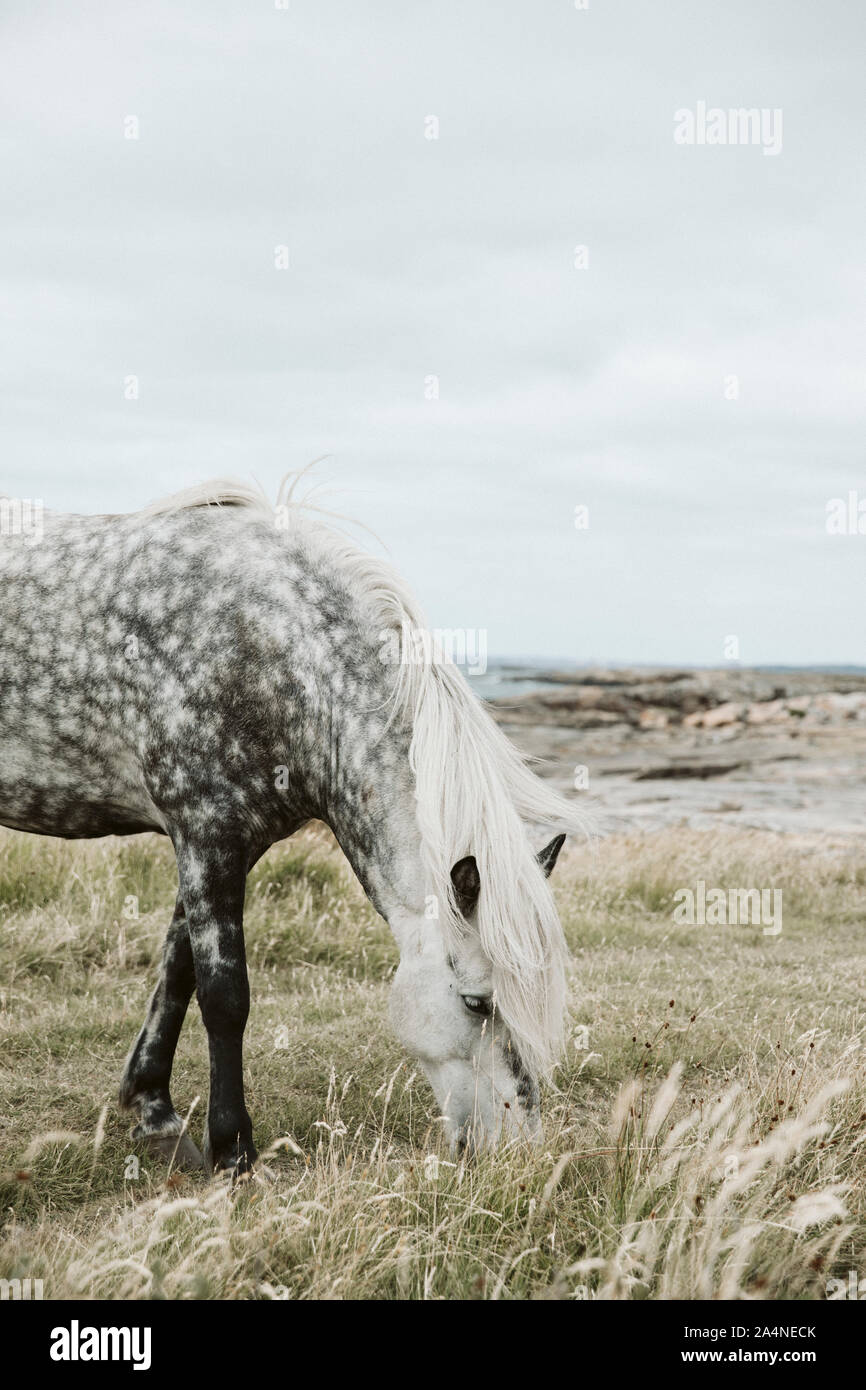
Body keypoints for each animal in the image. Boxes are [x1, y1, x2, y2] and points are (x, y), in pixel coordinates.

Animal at [0, 479, 581, 1175]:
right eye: (477, 1002)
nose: (519, 1150)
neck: (271, 651)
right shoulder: (205, 836)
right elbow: (224, 998)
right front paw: (233, 1151)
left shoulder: (224, 847)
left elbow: (177, 976)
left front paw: (154, 1113)